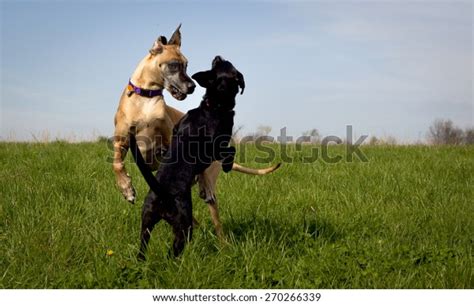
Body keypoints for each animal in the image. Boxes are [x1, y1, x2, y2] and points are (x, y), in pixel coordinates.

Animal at [113, 25, 280, 236]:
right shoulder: (121, 140)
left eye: (186, 65)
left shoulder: (169, 140)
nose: (192, 86)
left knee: (214, 213)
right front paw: (126, 188)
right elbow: (117, 164)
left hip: (209, 182)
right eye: (174, 65)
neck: (146, 99)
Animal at [130, 55, 244, 258]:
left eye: (218, 64)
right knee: (173, 252)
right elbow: (231, 150)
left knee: (142, 250)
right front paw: (227, 166)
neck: (214, 105)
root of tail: (163, 194)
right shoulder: (216, 148)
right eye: (225, 64)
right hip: (184, 226)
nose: (218, 56)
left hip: (146, 223)